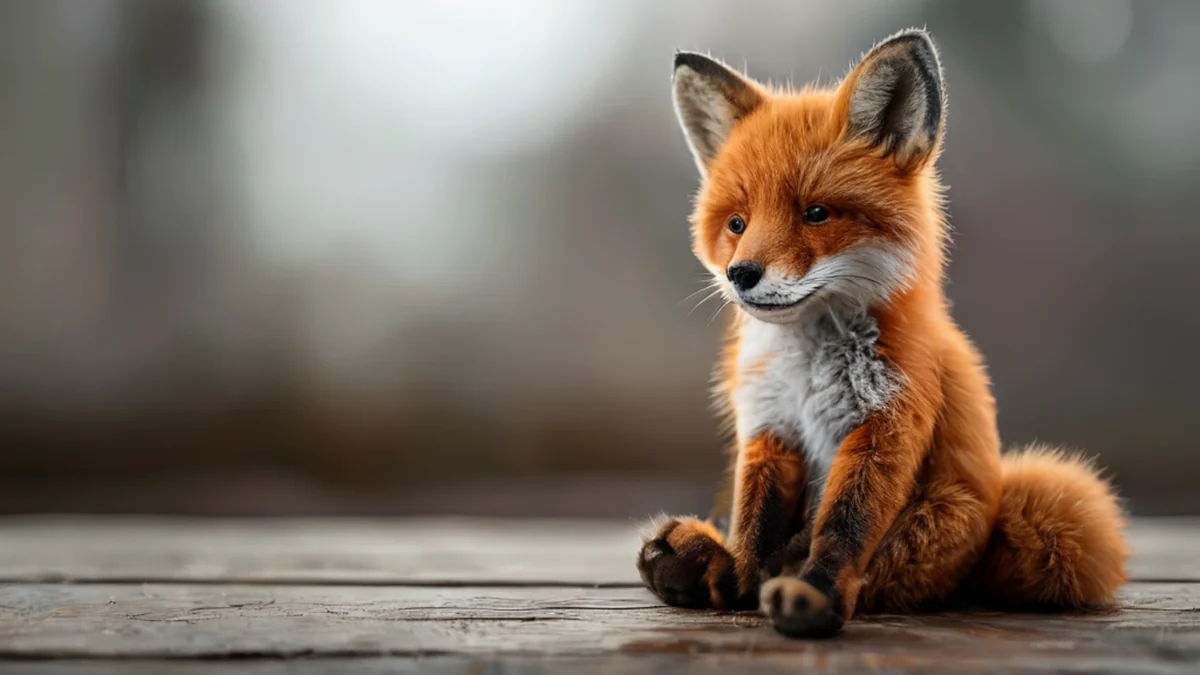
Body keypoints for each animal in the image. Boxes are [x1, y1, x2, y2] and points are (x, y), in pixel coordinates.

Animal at [636, 29, 1129, 639]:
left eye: (816, 214)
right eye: (737, 224)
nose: (741, 274)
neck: (809, 366)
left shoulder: (886, 424)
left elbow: (844, 527)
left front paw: (813, 594)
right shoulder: (770, 425)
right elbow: (754, 521)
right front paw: (736, 584)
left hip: (940, 520)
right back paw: (698, 565)